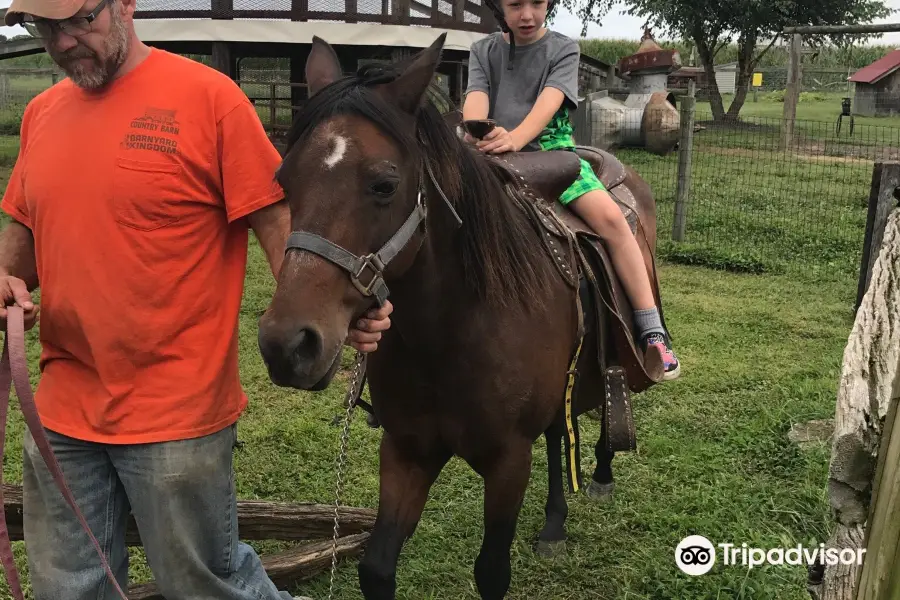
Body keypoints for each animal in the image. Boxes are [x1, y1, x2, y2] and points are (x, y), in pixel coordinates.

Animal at [258, 34, 660, 600]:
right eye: (283, 181)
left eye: (384, 184)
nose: (287, 345)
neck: (449, 331)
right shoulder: (406, 451)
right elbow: (375, 567)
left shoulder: (509, 462)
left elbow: (491, 572)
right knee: (557, 432)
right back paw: (554, 524)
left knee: (605, 395)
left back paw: (602, 469)